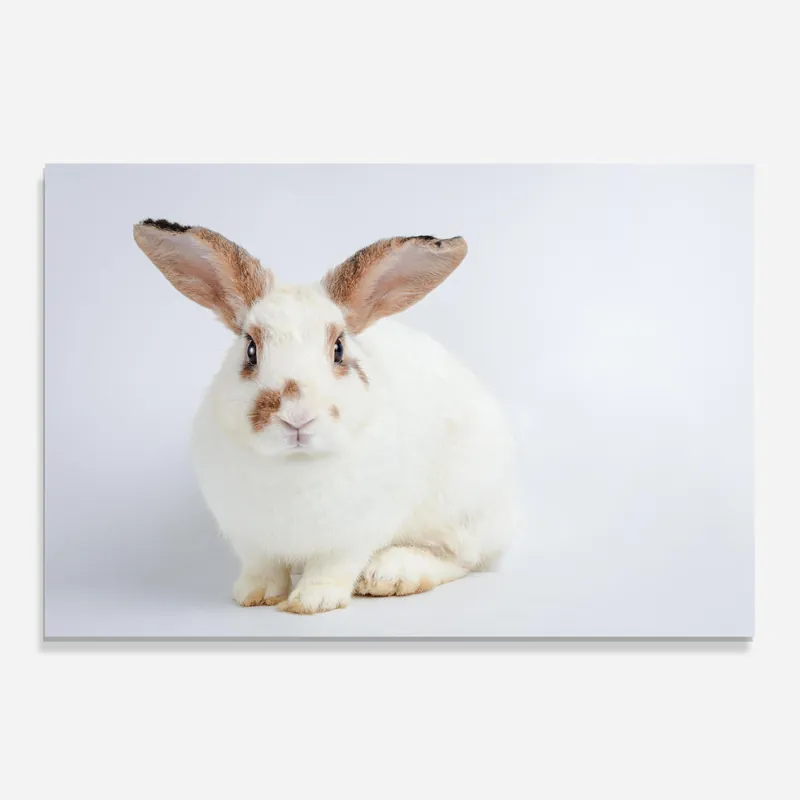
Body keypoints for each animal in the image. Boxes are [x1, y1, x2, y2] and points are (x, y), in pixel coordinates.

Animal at [133, 218, 519, 614]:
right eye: (251, 349)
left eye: (338, 349)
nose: (296, 416)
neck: (294, 465)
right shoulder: (250, 538)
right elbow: (262, 566)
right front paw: (255, 595)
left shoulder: (351, 536)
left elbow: (331, 568)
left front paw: (312, 601)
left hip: (462, 514)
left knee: (460, 560)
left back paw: (390, 575)